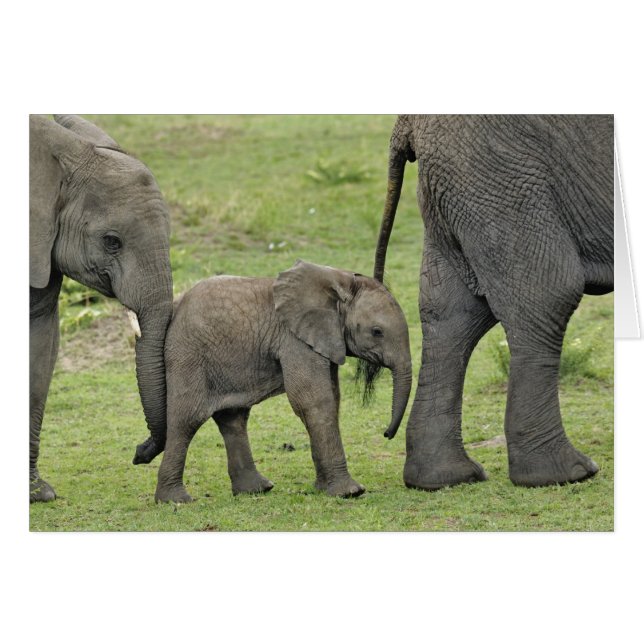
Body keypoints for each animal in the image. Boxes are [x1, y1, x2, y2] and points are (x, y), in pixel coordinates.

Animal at [155, 260, 412, 503]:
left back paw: (256, 490)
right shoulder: (294, 340)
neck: (339, 281)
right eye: (377, 331)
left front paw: (322, 488)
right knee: (188, 418)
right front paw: (350, 492)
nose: (386, 434)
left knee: (233, 417)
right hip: (188, 355)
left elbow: (332, 398)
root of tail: (177, 305)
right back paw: (176, 500)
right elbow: (313, 400)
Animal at [374, 115, 613, 490]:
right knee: (547, 292)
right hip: (498, 172)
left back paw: (443, 479)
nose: (385, 434)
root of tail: (408, 122)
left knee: (452, 312)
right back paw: (565, 473)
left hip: (461, 184)